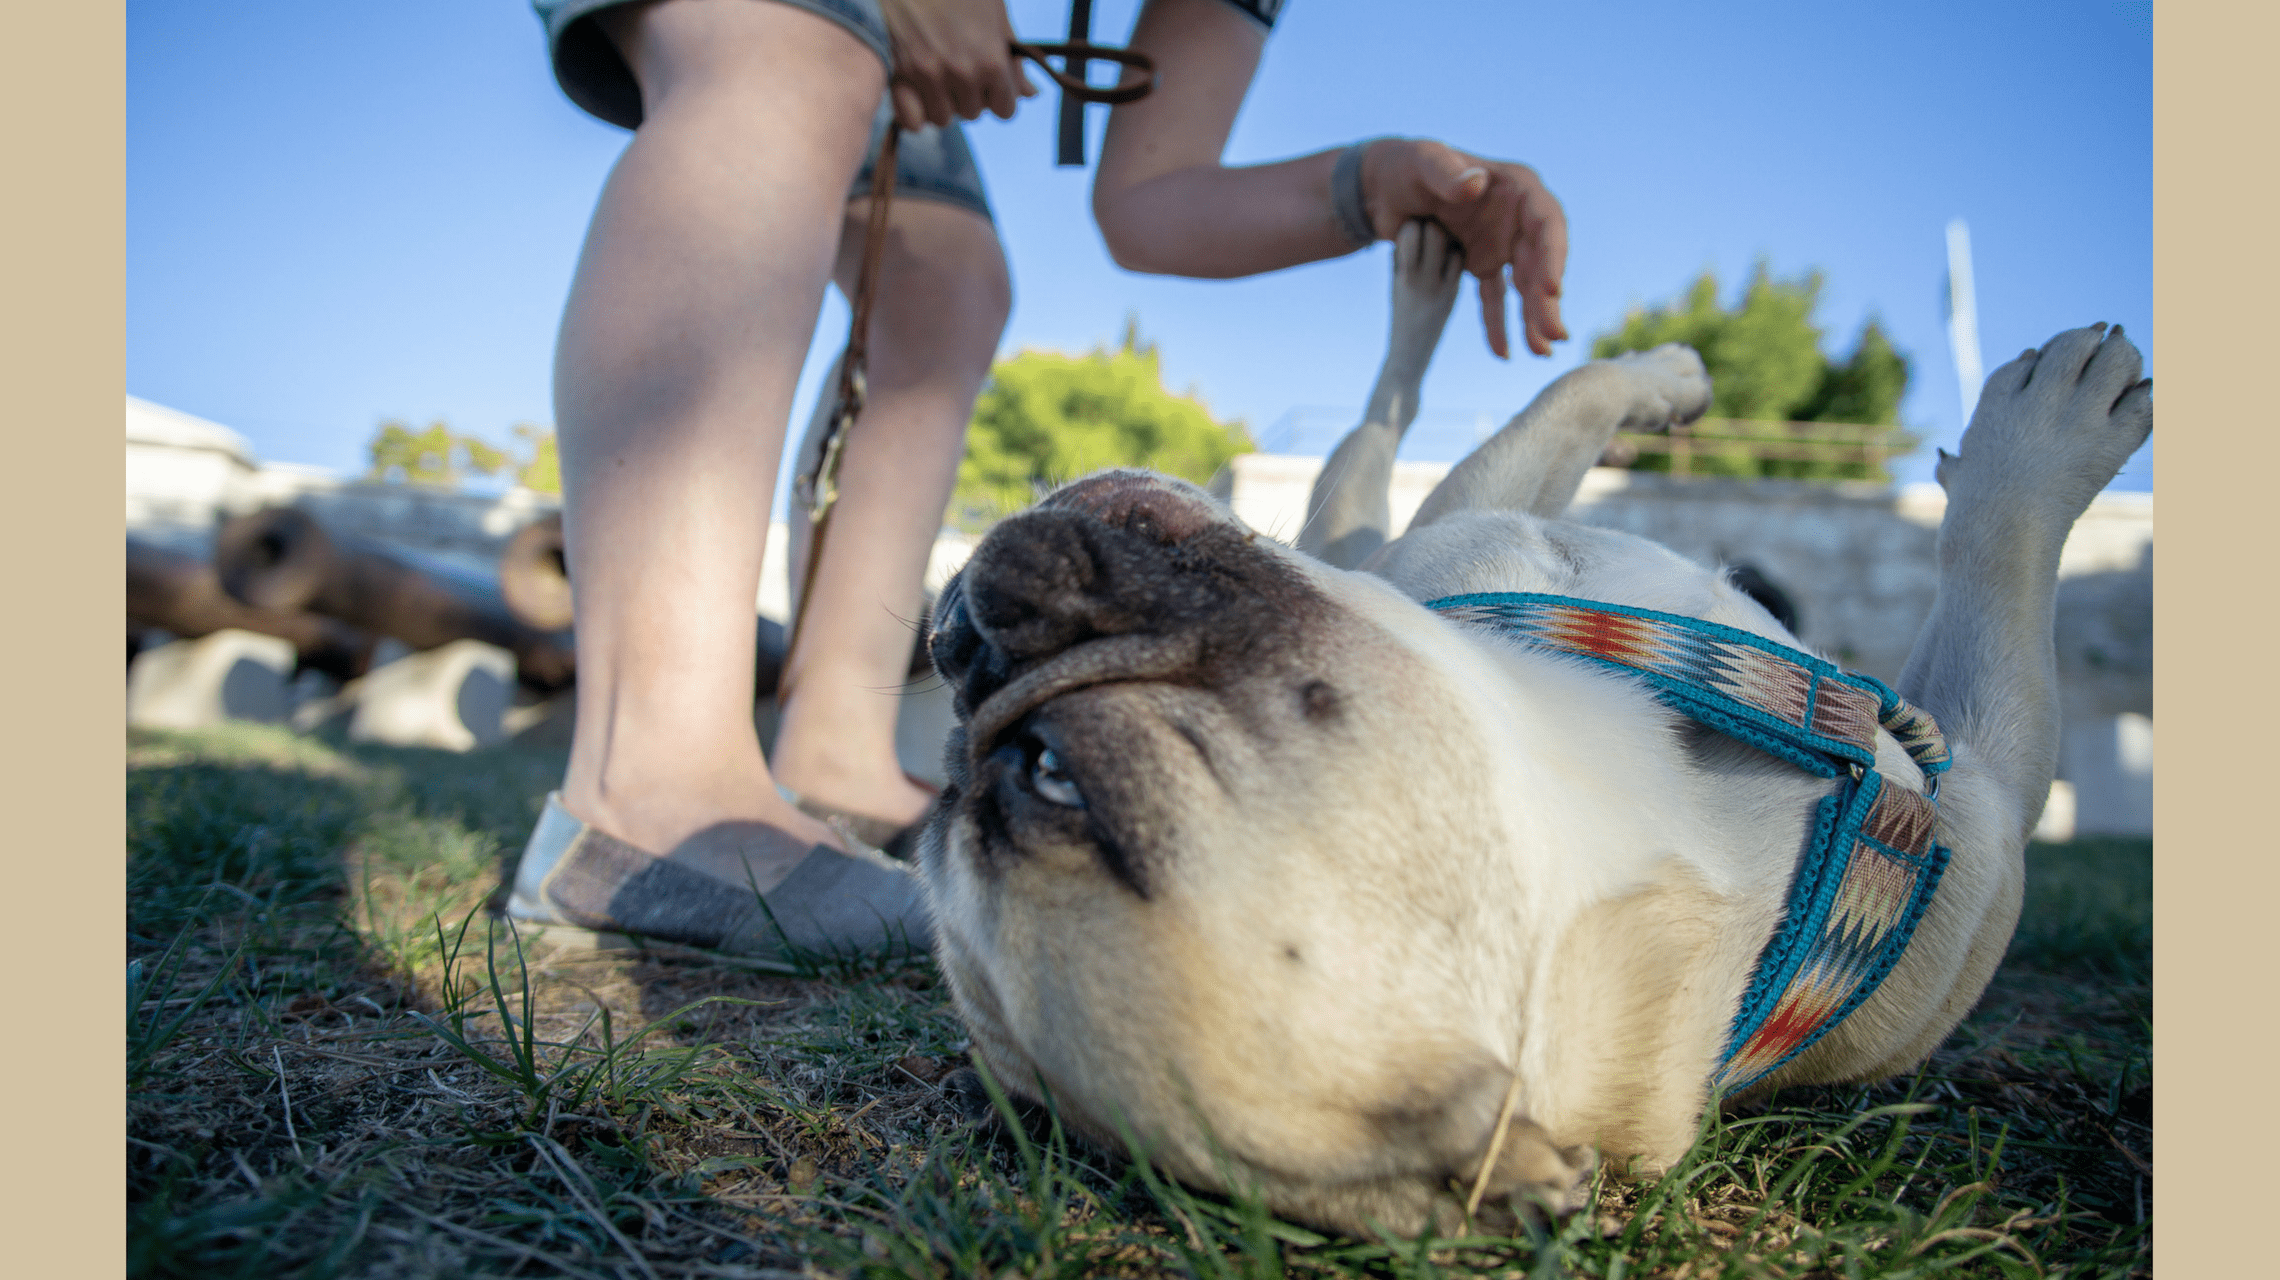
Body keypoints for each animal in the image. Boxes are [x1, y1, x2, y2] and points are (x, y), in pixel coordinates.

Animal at [912, 222, 2152, 1241]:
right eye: (1054, 776)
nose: (964, 652)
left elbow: (1566, 396)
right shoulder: (1983, 780)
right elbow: (1993, 564)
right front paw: (2047, 427)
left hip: (1368, 537)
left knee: (1363, 454)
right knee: (1375, 442)